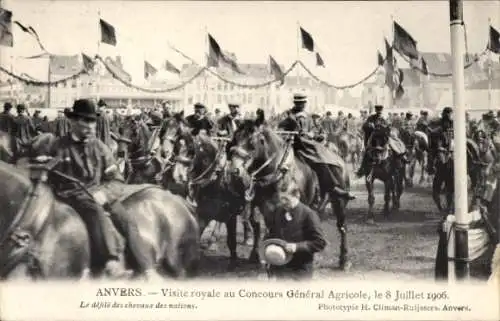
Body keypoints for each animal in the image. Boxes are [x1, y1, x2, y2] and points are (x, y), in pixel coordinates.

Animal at [227, 110, 352, 270]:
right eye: (235, 138)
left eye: (252, 142)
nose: (235, 171)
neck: (277, 173)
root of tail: (339, 158)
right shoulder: (260, 206)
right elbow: (257, 225)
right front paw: (255, 255)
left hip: (339, 200)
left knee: (342, 227)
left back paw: (344, 260)